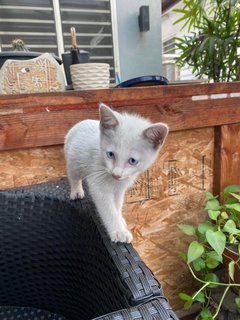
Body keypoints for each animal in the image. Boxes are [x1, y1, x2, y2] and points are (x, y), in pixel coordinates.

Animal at [63, 104, 169, 244]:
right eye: (110, 154)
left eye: (132, 161)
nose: (116, 174)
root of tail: (80, 123)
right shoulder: (98, 184)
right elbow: (108, 209)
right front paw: (119, 232)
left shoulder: (120, 188)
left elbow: (117, 205)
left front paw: (120, 221)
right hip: (74, 161)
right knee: (73, 176)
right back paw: (76, 191)